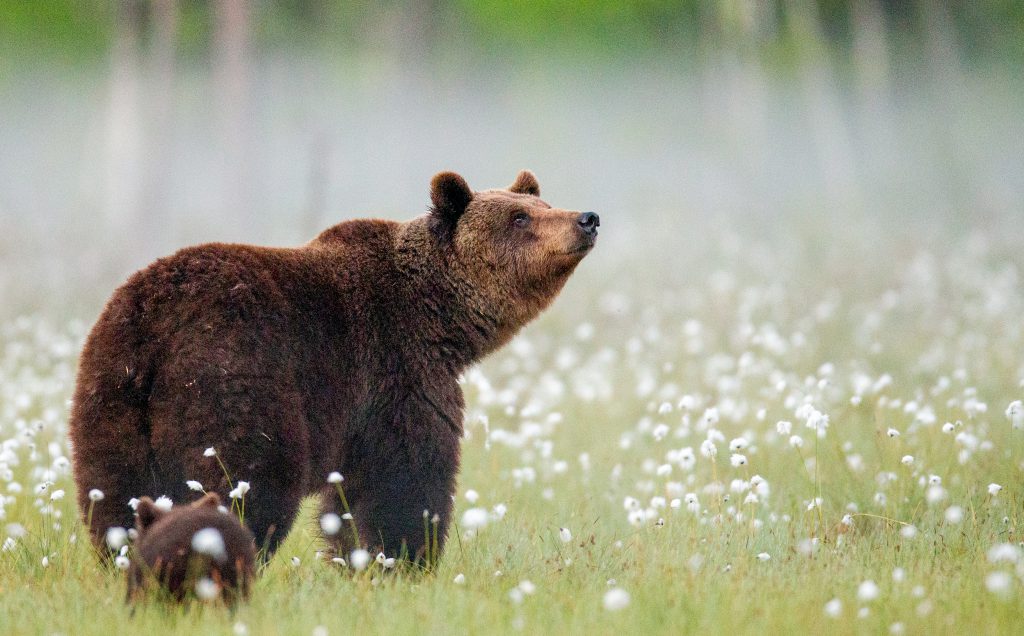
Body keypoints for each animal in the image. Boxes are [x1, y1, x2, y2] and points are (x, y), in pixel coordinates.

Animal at [68, 166, 598, 561]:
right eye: (519, 217)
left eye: (544, 206)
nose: (587, 217)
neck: (440, 318)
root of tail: (154, 325)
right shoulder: (395, 370)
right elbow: (405, 478)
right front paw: (404, 559)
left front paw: (355, 559)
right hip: (234, 378)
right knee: (248, 486)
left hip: (110, 395)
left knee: (114, 499)